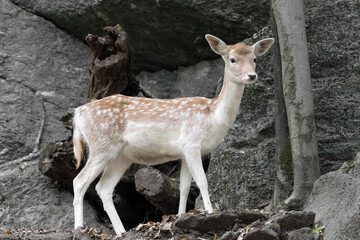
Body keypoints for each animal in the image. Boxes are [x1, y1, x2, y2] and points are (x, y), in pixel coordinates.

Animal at [74, 33, 276, 234]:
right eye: (233, 59)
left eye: (255, 59)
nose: (252, 75)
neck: (213, 117)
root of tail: (79, 113)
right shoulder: (192, 142)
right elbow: (202, 180)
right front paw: (210, 212)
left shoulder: (184, 151)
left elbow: (184, 187)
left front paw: (179, 216)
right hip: (102, 144)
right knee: (79, 181)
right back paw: (79, 228)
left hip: (122, 156)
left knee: (103, 187)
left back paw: (121, 231)